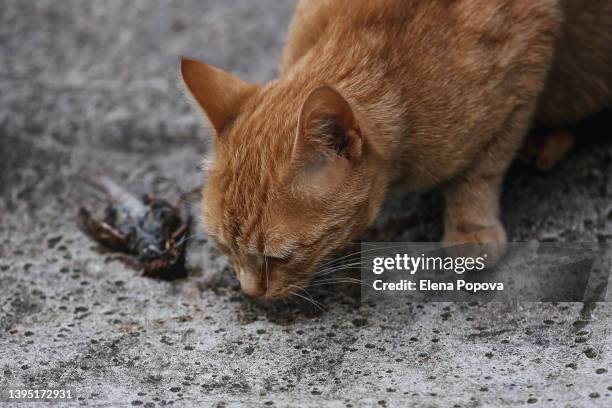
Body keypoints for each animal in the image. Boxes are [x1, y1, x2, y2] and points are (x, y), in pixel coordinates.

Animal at [180, 0, 612, 300]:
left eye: (278, 258)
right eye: (224, 248)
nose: (250, 293)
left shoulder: (525, 67)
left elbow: (481, 169)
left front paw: (470, 226)